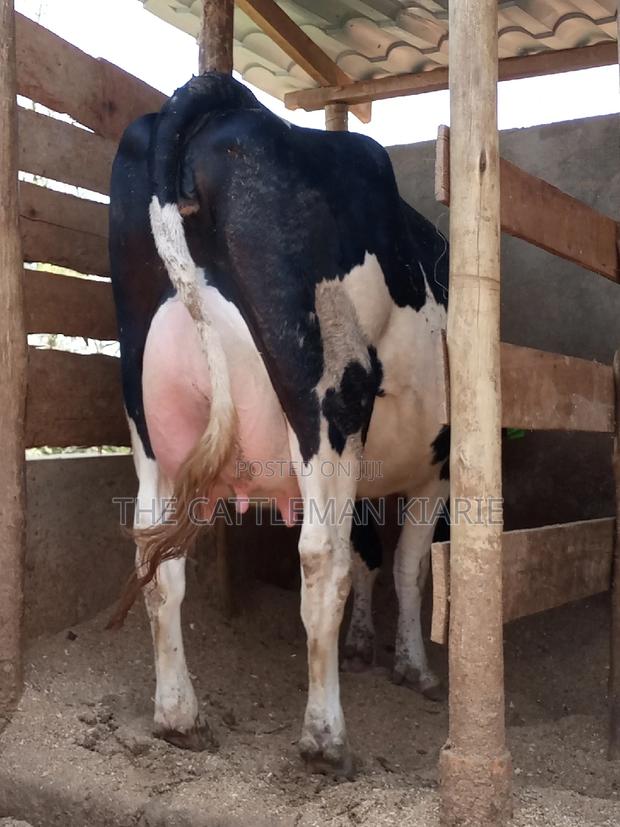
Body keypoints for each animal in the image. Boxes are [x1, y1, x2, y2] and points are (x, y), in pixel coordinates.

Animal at [108, 72, 449, 777]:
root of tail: (221, 105)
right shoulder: (437, 467)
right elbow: (406, 564)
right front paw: (412, 667)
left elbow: (374, 553)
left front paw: (366, 645)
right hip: (330, 397)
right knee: (320, 559)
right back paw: (324, 739)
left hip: (146, 410)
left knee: (157, 558)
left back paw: (179, 718)